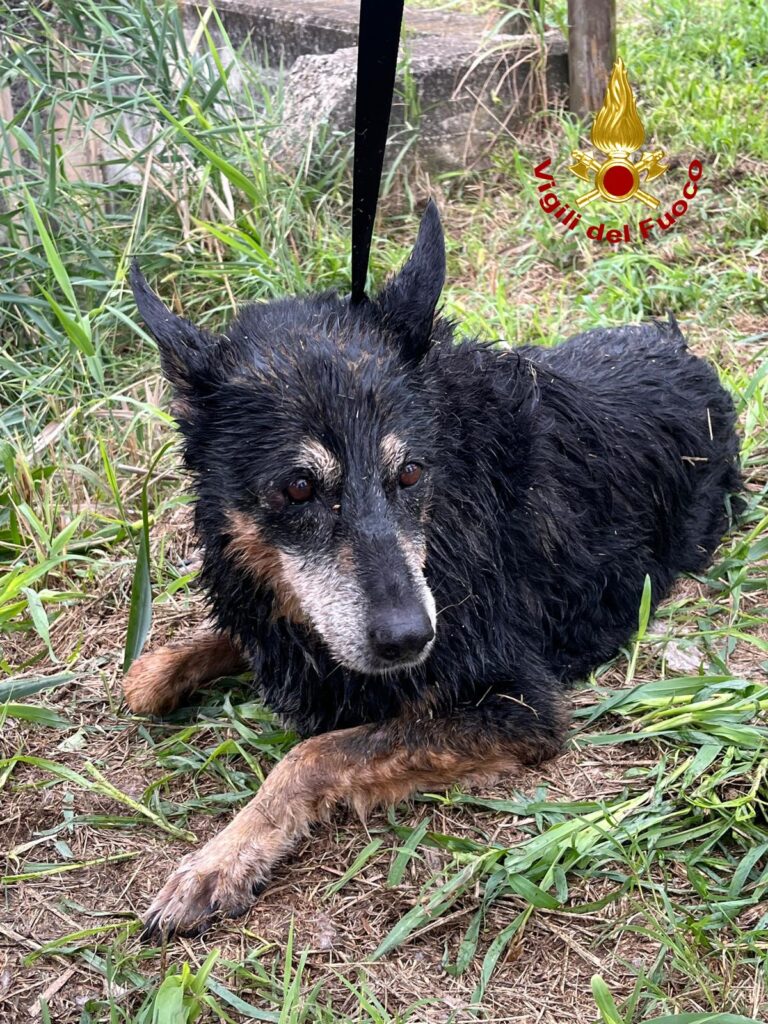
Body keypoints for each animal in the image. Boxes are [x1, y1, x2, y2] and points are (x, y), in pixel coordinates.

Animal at [125, 201, 740, 938]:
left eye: (412, 472)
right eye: (298, 489)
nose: (411, 639)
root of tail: (682, 348)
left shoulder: (517, 707)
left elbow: (312, 755)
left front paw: (221, 858)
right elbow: (184, 663)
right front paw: (162, 671)